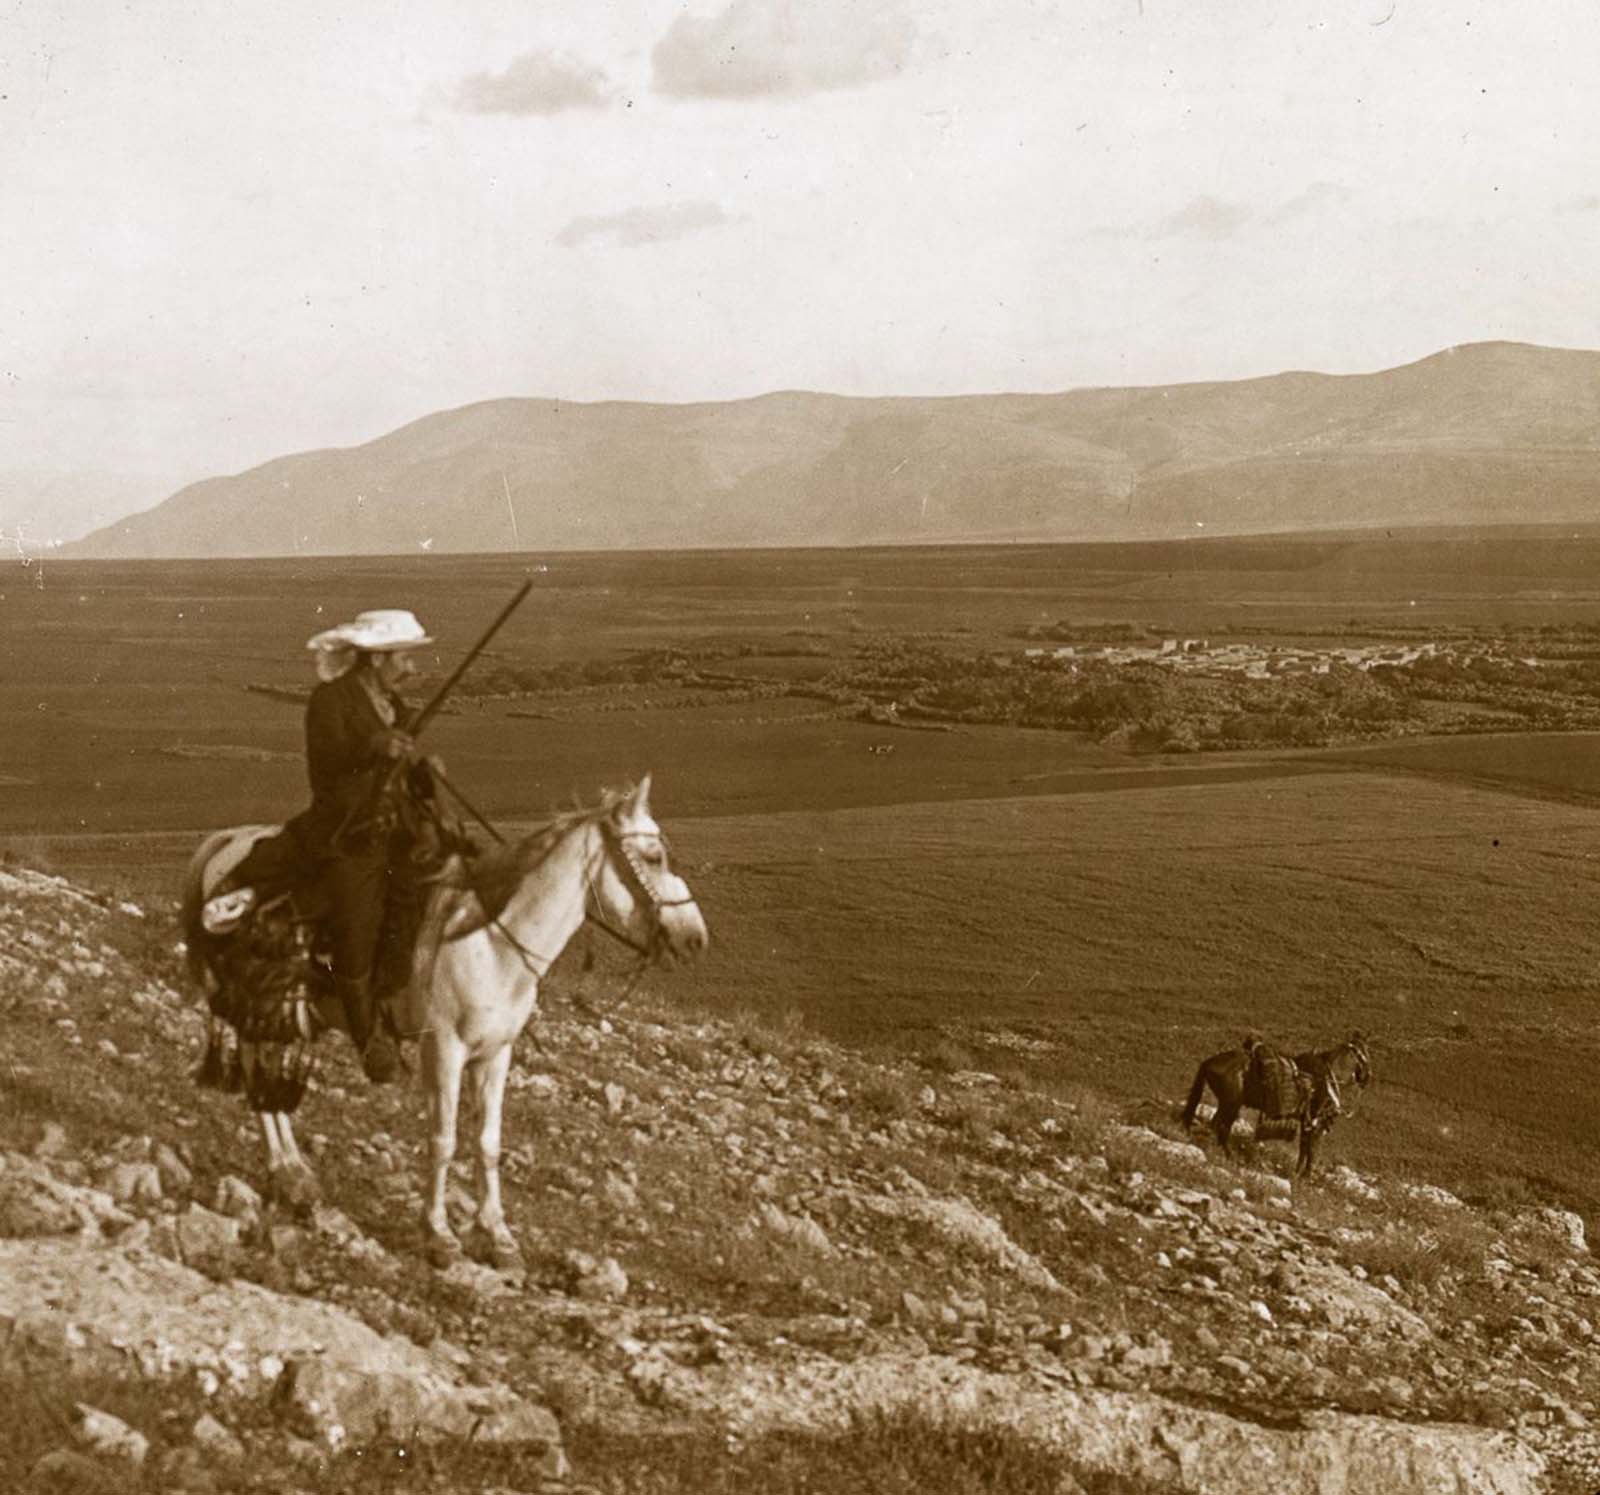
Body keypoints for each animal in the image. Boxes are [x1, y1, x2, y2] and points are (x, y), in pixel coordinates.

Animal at [178, 777, 704, 1267]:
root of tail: (224, 842)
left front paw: (498, 1236)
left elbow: (488, 1142)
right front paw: (440, 1235)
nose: (696, 938)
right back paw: (288, 1171)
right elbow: (444, 1139)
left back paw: (294, 1176)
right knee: (257, 1075)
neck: (491, 942)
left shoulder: (496, 1055)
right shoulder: (444, 1050)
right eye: (655, 857)